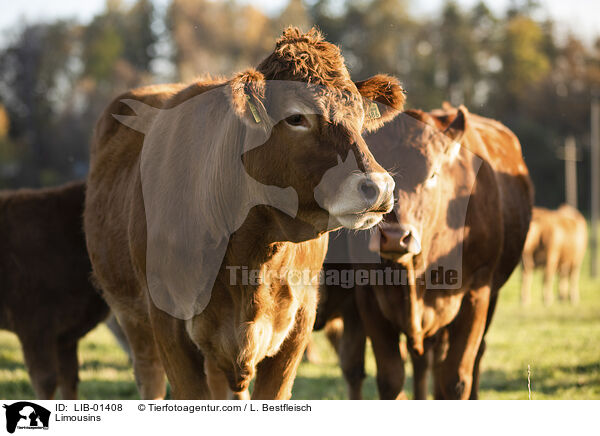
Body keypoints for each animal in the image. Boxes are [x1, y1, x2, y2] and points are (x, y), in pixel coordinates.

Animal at [84, 27, 406, 400]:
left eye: (358, 116)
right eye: (296, 117)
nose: (379, 186)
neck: (252, 254)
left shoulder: (299, 321)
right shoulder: (167, 323)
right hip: (136, 325)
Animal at [316, 104, 532, 398]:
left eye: (432, 174)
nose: (395, 238)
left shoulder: (478, 291)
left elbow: (456, 379)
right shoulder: (369, 298)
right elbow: (390, 378)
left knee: (472, 356)